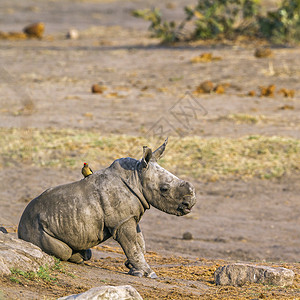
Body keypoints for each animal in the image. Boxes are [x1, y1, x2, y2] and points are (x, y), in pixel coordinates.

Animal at [18, 139, 197, 278]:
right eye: (164, 189)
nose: (191, 203)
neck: (136, 177)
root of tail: (20, 227)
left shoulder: (129, 215)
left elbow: (140, 241)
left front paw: (132, 268)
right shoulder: (122, 221)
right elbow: (132, 244)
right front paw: (149, 273)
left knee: (85, 251)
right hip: (35, 227)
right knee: (64, 250)